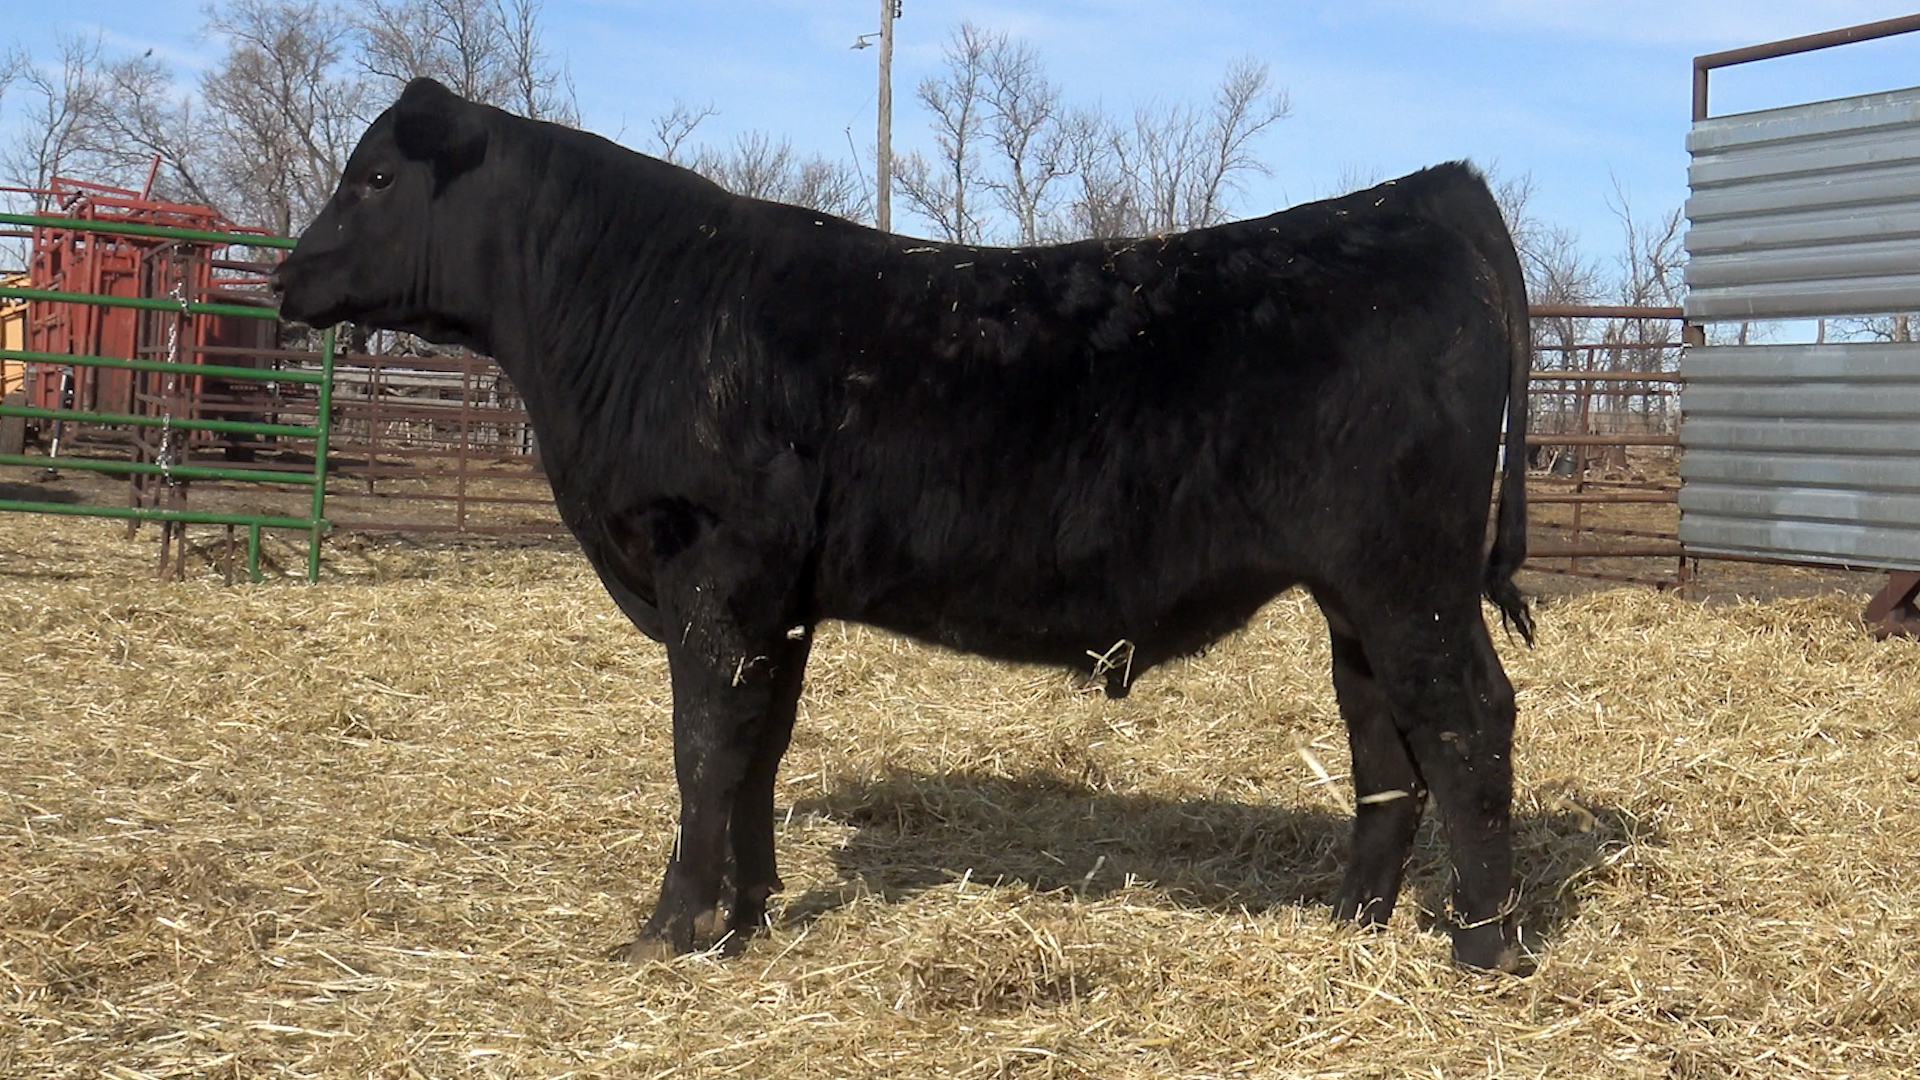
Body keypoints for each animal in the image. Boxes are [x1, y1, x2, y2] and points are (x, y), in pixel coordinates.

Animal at [274, 78, 1535, 971]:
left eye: (375, 176)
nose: (287, 278)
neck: (642, 304)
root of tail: (1432, 195)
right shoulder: (779, 599)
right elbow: (758, 749)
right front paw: (748, 913)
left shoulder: (714, 566)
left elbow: (701, 747)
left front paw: (671, 927)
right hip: (1357, 593)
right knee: (1387, 741)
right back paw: (1350, 923)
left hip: (1408, 575)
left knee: (1467, 719)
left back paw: (1484, 946)